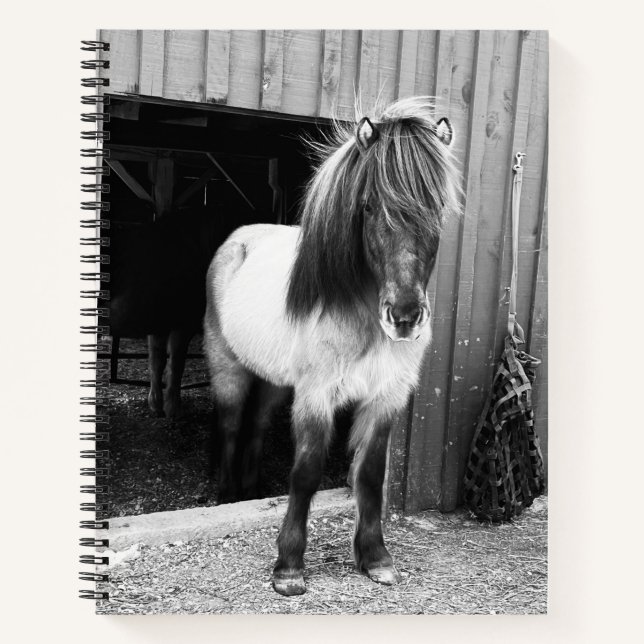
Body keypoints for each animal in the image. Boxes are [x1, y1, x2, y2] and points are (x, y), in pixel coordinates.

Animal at [109, 207, 238, 419]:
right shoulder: (182, 324)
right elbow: (177, 362)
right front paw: (173, 408)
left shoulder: (159, 324)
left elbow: (157, 361)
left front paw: (156, 404)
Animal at [204, 96, 461, 596]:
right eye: (369, 206)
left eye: (437, 206)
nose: (404, 317)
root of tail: (238, 240)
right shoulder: (316, 395)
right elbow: (305, 473)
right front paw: (288, 568)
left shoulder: (385, 397)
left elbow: (370, 474)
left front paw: (375, 558)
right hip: (227, 367)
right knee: (229, 425)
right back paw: (228, 494)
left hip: (274, 381)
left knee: (257, 425)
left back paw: (251, 487)